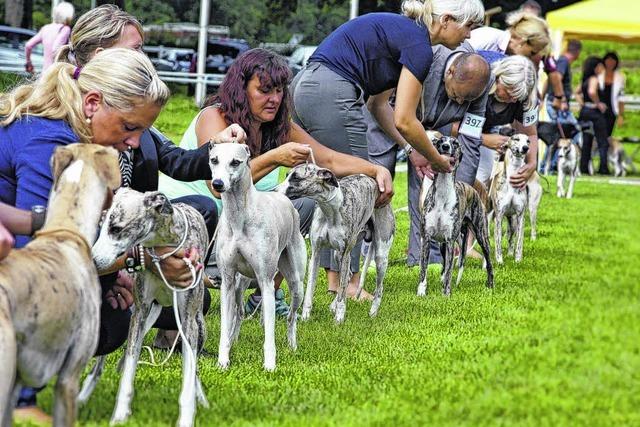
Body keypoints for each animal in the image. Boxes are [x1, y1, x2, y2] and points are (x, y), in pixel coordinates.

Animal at [89, 189, 209, 427]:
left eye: (116, 228)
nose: (93, 261)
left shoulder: (187, 322)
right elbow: (129, 368)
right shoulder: (140, 312)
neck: (165, 245)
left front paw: (186, 417)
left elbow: (188, 377)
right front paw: (120, 415)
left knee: (195, 367)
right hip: (146, 316)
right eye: (101, 224)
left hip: (199, 327)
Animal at [278, 165, 396, 324]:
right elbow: (310, 289)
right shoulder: (316, 253)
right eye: (286, 175)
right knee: (347, 278)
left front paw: (339, 319)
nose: (274, 191)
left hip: (380, 256)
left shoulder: (346, 253)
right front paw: (305, 317)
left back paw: (373, 312)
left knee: (378, 288)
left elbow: (342, 293)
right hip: (337, 255)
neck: (329, 209)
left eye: (296, 177)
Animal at [418, 134, 492, 298]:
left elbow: (449, 271)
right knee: (446, 264)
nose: (445, 146)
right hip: (445, 244)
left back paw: (490, 285)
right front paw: (421, 291)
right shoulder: (427, 238)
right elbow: (424, 269)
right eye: (440, 141)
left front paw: (446, 294)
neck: (442, 194)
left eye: (456, 143)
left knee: (489, 262)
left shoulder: (450, 240)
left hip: (481, 235)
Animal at [492, 133, 532, 264]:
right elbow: (498, 241)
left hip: (513, 221)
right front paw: (499, 261)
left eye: (528, 141)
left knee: (511, 237)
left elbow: (519, 241)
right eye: (516, 139)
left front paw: (518, 260)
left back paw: (510, 254)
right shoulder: (498, 216)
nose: (525, 148)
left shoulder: (520, 216)